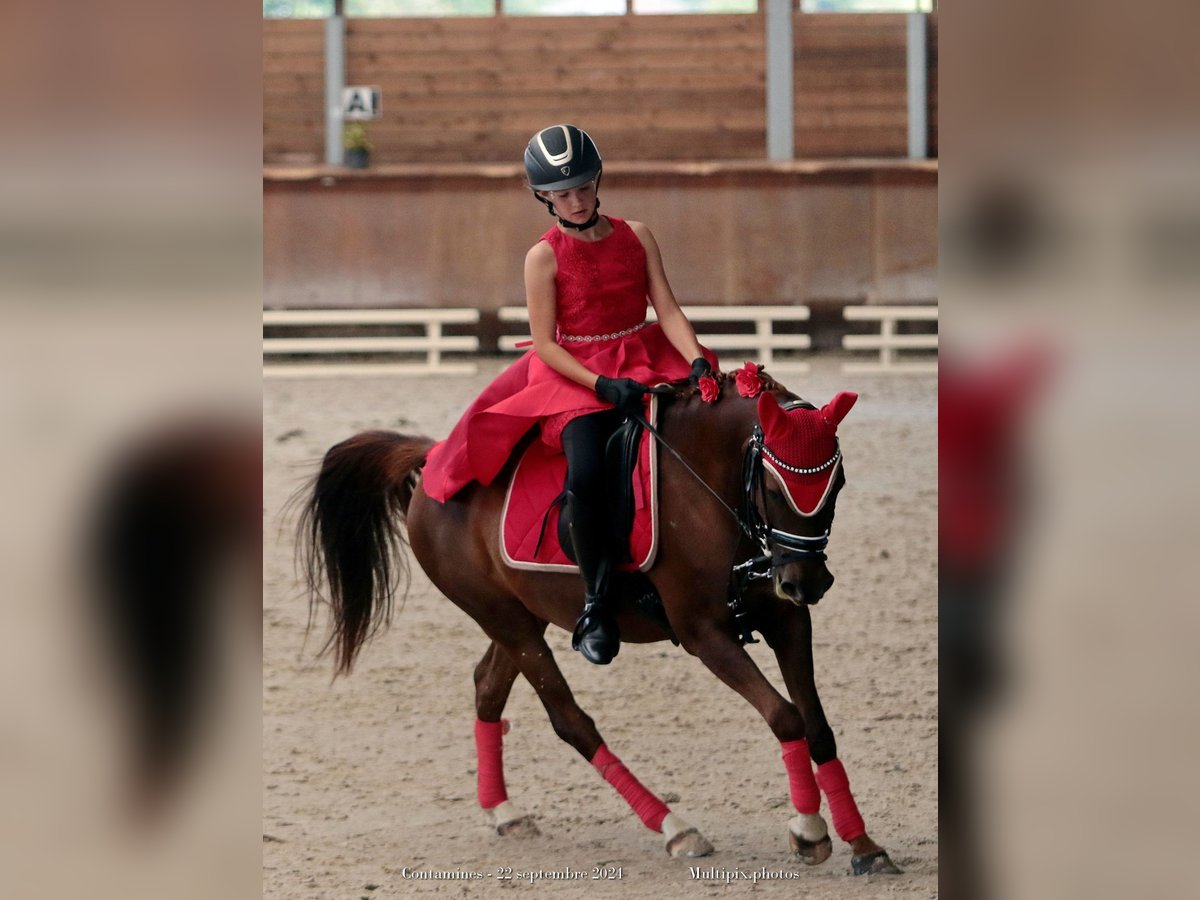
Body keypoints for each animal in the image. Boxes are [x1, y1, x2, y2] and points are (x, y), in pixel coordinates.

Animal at [297, 369, 902, 878]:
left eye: (838, 484)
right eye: (776, 489)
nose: (809, 582)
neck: (711, 488)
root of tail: (437, 463)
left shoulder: (786, 618)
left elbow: (817, 725)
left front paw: (864, 844)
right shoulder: (704, 634)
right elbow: (785, 716)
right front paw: (809, 832)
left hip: (520, 617)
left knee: (488, 685)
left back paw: (505, 813)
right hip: (506, 621)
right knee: (570, 720)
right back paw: (673, 827)